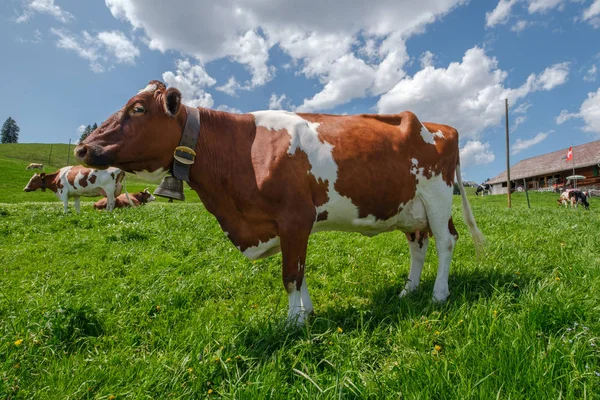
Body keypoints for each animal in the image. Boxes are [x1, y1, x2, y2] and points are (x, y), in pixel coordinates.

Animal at [76, 79, 488, 324]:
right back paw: (408, 290)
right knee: (419, 244)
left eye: (138, 108)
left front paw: (292, 324)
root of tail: (440, 126)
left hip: (436, 197)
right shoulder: (292, 226)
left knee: (446, 241)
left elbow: (290, 275)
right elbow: (300, 272)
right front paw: (306, 314)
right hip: (409, 208)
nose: (82, 147)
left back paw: (438, 294)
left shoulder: (294, 218)